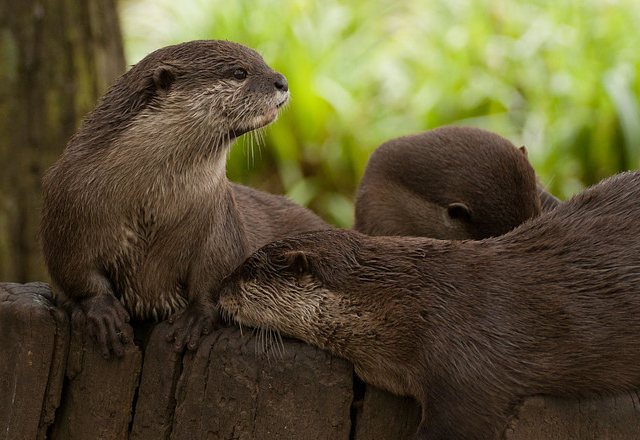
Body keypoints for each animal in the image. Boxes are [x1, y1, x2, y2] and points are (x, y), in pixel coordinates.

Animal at [41, 39, 330, 360]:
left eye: (264, 63)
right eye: (239, 72)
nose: (282, 81)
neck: (148, 202)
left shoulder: (219, 220)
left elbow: (217, 273)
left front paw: (194, 319)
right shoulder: (68, 209)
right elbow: (74, 269)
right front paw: (104, 314)